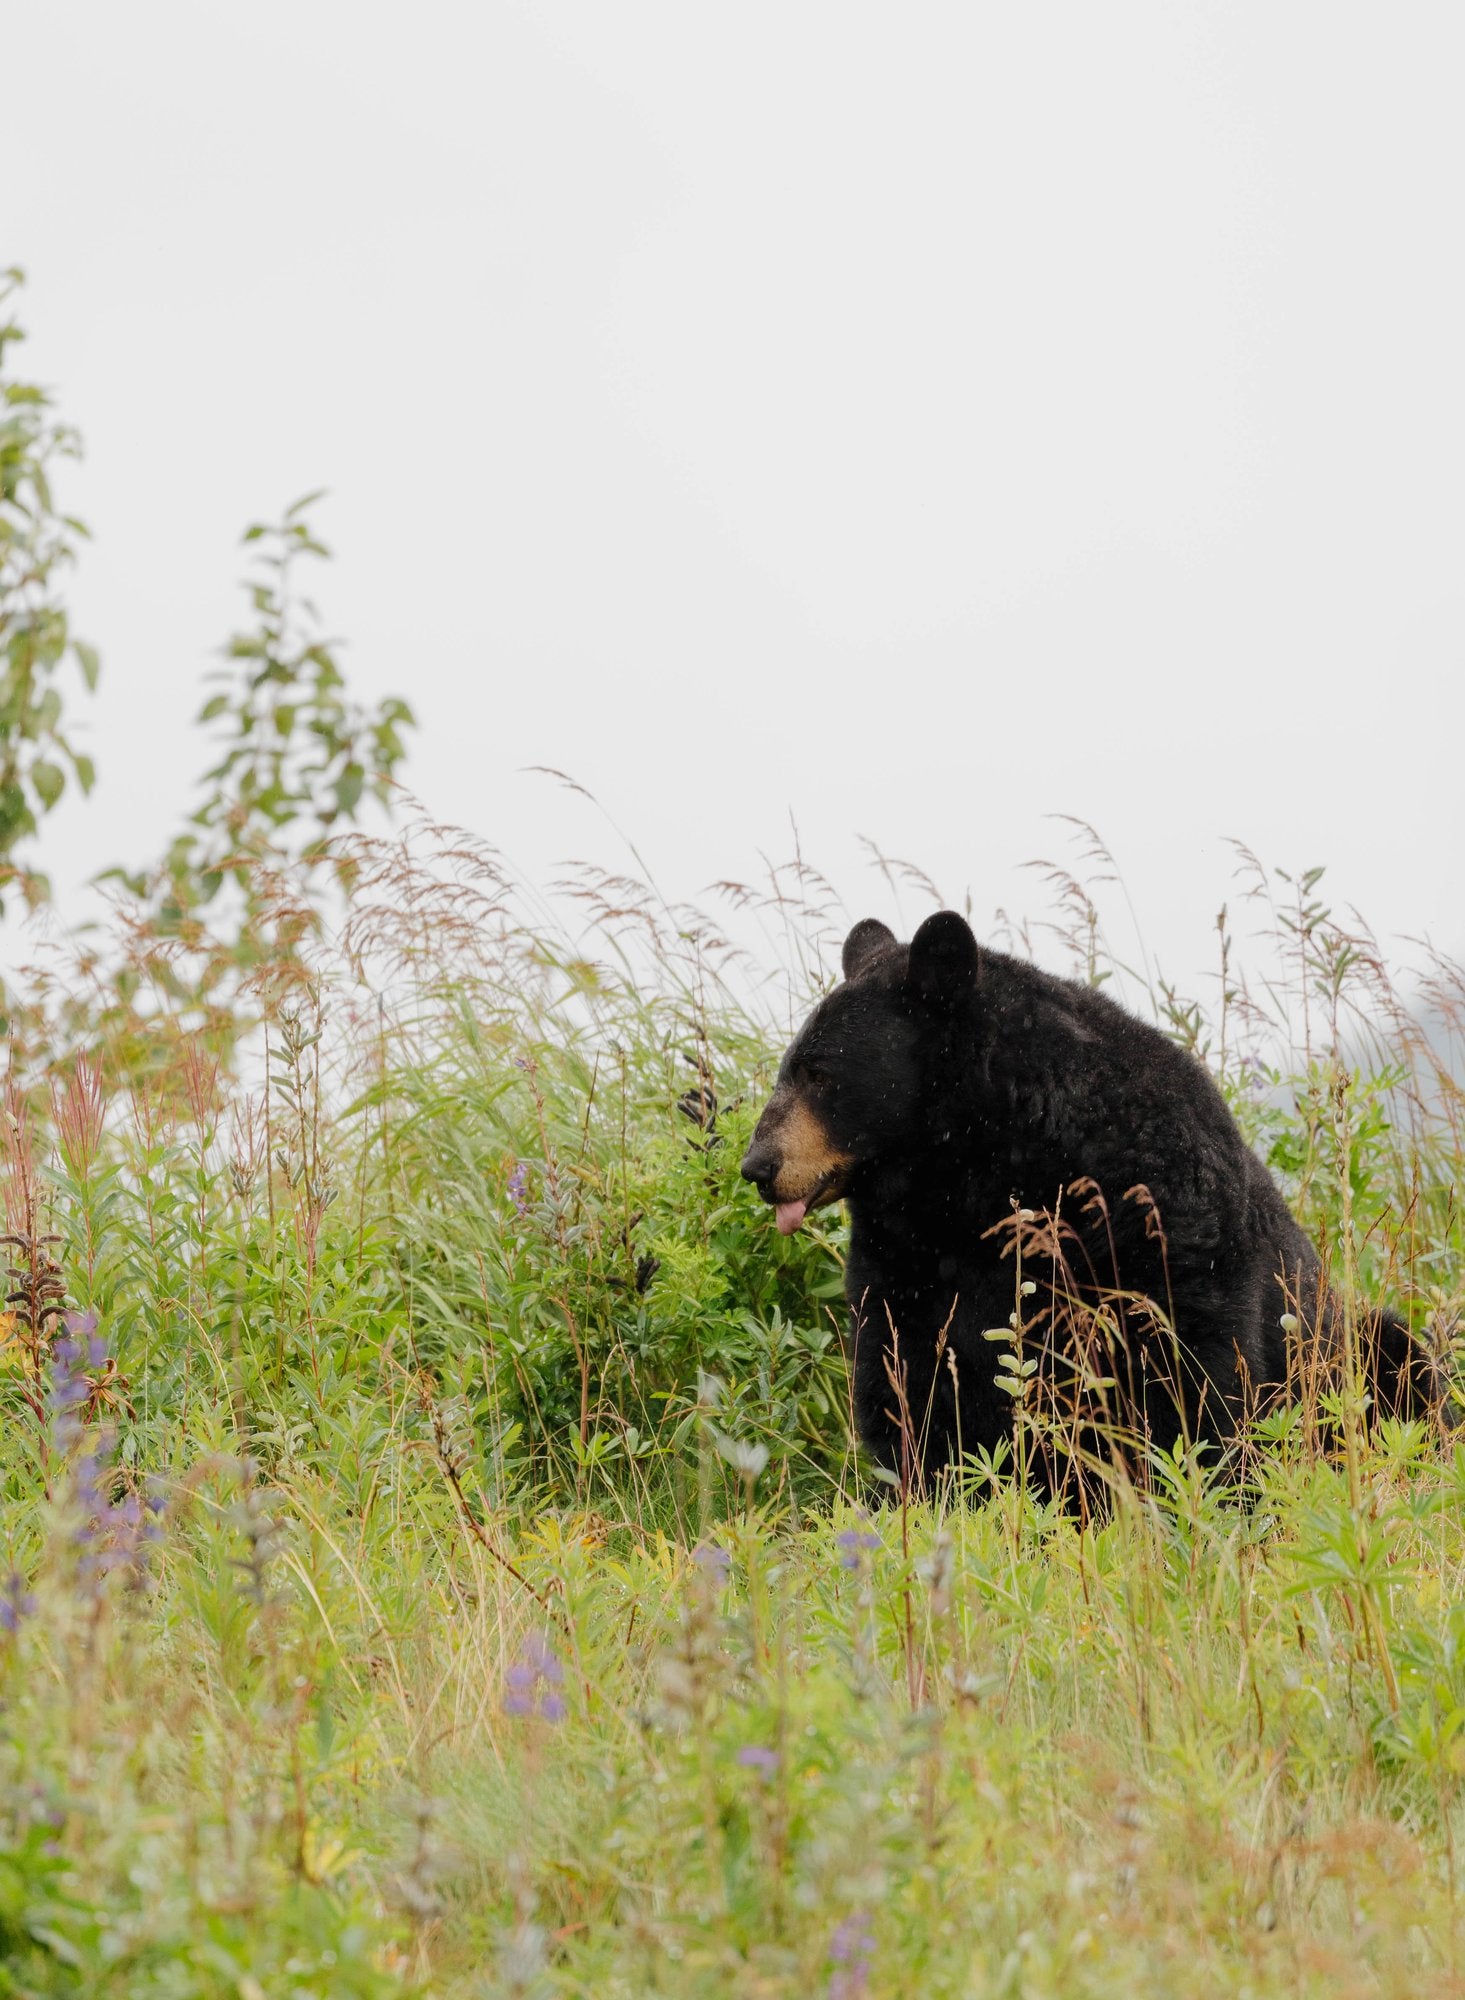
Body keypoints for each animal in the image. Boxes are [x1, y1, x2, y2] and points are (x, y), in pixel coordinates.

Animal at [740, 910, 1421, 1496]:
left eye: (819, 1073)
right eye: (789, 1068)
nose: (757, 1167)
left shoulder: (1158, 1225)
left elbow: (1189, 1379)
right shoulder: (905, 1255)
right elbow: (905, 1378)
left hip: (1353, 1351)